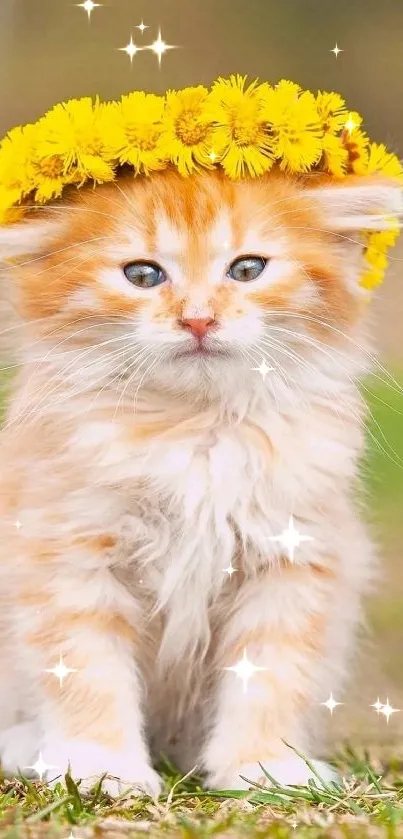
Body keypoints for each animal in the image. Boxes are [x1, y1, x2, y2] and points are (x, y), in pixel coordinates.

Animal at [0, 166, 400, 796]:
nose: (197, 318)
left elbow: (271, 674)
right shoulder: (68, 552)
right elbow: (85, 671)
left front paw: (265, 767)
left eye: (247, 269)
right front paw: (102, 768)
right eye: (143, 275)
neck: (195, 428)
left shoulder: (293, 555)